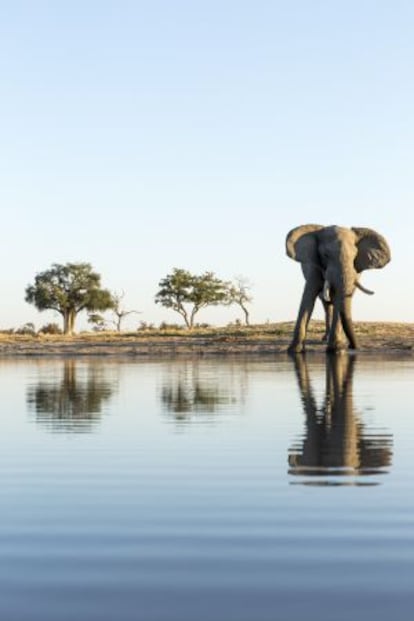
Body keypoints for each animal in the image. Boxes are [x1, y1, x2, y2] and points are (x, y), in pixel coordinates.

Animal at [286, 224, 390, 352]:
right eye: (325, 255)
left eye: (354, 257)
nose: (353, 346)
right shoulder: (313, 266)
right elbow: (308, 297)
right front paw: (294, 350)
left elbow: (340, 299)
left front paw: (336, 349)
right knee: (326, 305)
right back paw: (325, 339)